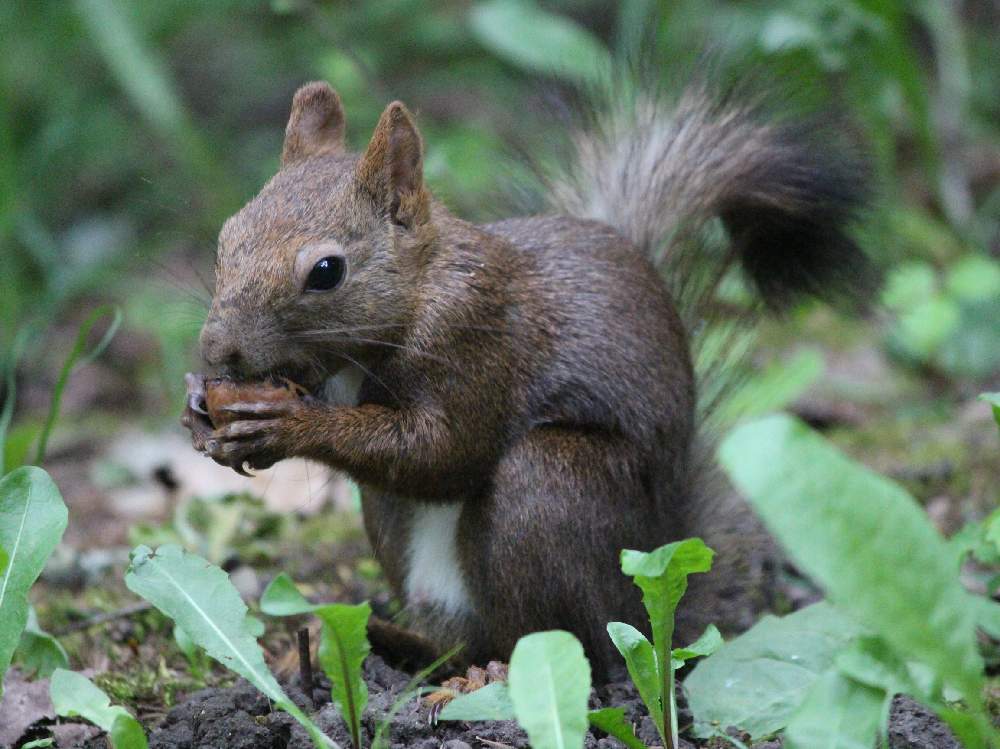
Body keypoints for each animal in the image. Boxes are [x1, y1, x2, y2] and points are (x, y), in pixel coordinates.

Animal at [186, 76, 876, 676]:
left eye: (326, 271)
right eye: (225, 238)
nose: (215, 348)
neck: (414, 298)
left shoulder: (480, 341)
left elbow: (444, 454)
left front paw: (286, 423)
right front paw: (201, 409)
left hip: (550, 487)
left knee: (563, 641)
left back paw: (487, 671)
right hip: (395, 525)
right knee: (459, 631)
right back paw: (398, 646)